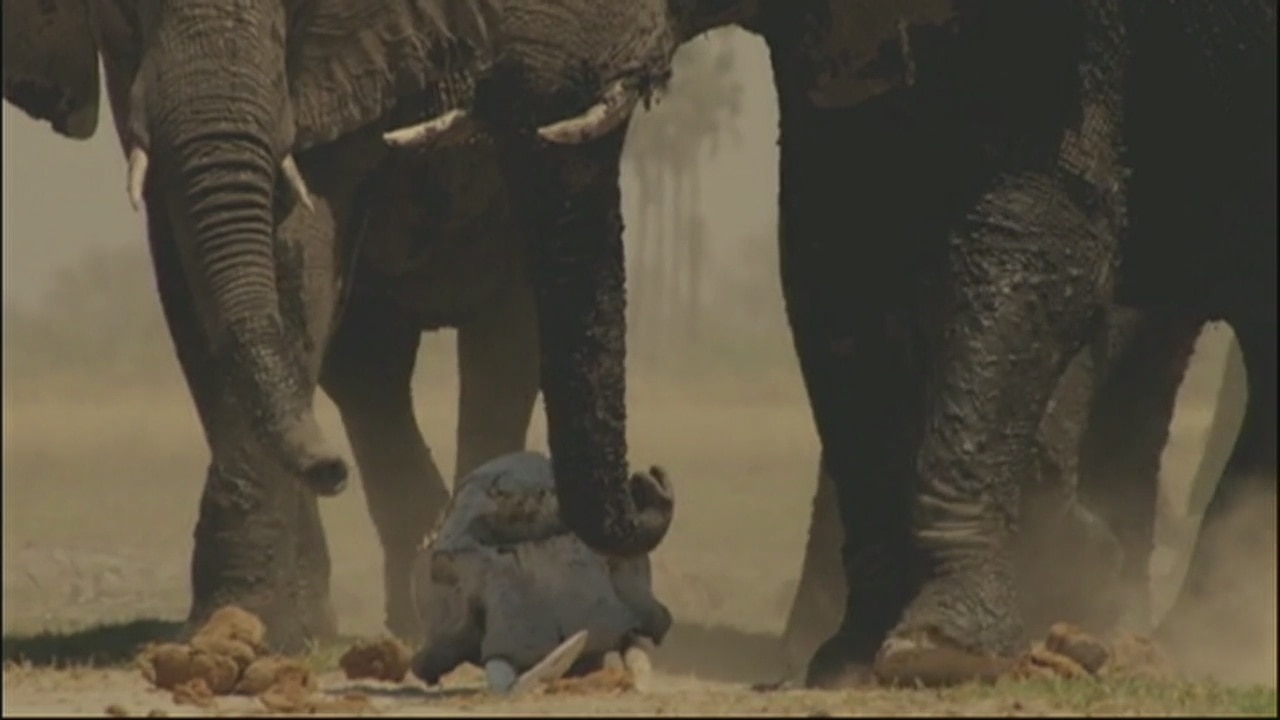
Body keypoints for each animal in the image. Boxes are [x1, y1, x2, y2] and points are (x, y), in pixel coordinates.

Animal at [3, 0, 548, 648]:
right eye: (128, 9)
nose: (329, 469)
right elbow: (191, 266)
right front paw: (255, 624)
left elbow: (292, 245)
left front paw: (254, 623)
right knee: (370, 375)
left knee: (504, 344)